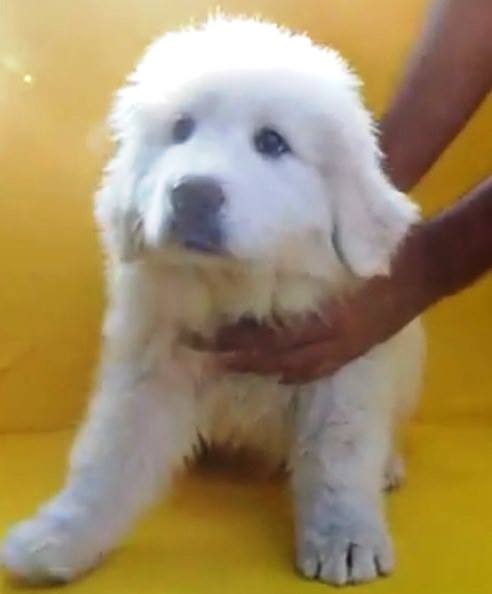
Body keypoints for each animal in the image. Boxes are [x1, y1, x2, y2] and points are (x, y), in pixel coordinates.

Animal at [0, 17, 422, 584]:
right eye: (180, 129)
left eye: (271, 142)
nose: (192, 194)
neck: (234, 291)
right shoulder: (150, 369)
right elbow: (107, 461)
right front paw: (56, 540)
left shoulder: (343, 361)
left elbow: (340, 456)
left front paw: (346, 538)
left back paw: (389, 467)